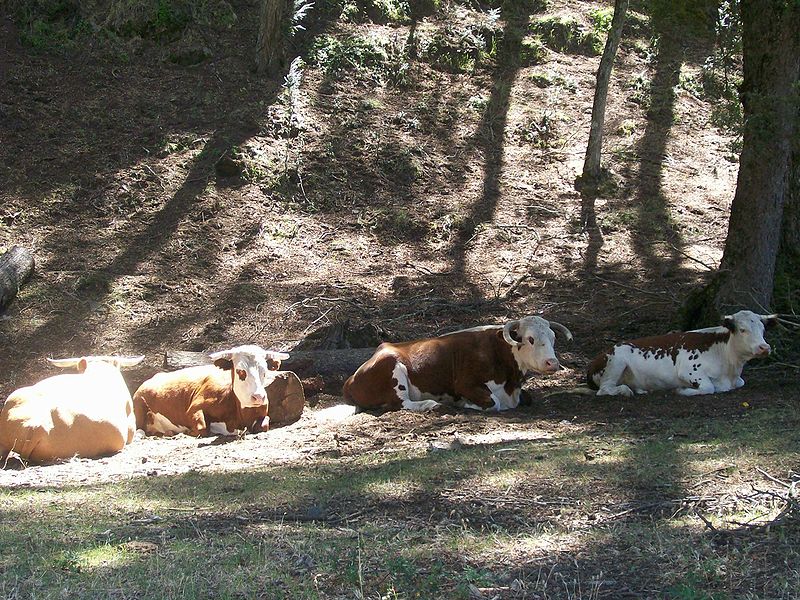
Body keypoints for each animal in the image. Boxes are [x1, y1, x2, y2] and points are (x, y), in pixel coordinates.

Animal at [133, 345, 290, 437]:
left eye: (265, 371)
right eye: (240, 371)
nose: (258, 397)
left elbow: (264, 425)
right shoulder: (194, 409)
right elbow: (202, 428)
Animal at [343, 316, 573, 412]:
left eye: (553, 338)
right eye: (530, 339)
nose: (552, 363)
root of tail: (350, 380)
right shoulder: (465, 384)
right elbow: (493, 403)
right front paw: (465, 404)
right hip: (393, 366)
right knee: (401, 403)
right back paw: (431, 405)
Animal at [587, 310, 778, 397]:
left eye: (763, 329)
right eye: (743, 330)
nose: (764, 347)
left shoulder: (737, 379)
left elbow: (741, 382)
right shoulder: (689, 370)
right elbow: (708, 388)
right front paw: (681, 390)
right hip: (616, 362)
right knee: (605, 389)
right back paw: (626, 390)